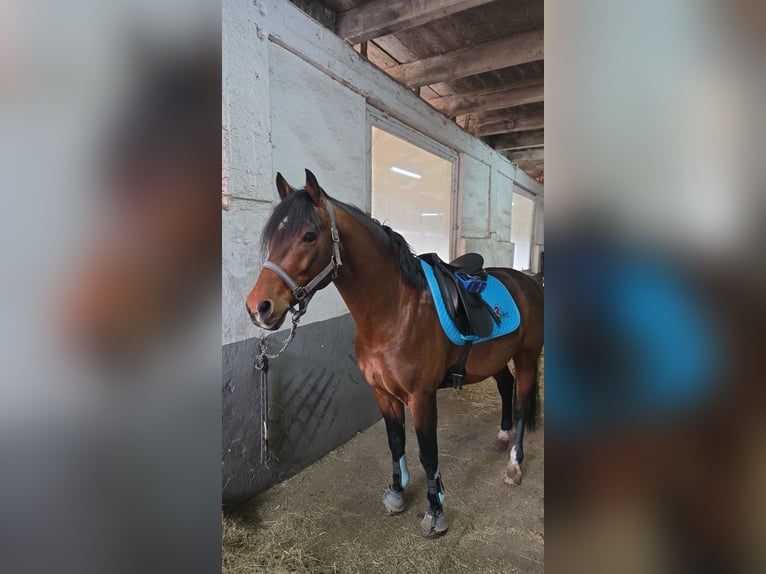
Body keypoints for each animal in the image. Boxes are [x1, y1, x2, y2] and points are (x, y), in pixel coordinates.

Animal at [246, 169, 544, 538]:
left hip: (528, 356)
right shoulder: (382, 392)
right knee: (505, 386)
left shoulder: (421, 397)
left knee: (521, 405)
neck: (395, 312)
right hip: (494, 358)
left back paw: (514, 466)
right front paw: (397, 493)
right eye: (273, 236)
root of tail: (528, 281)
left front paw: (435, 512)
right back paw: (501, 436)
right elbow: (396, 442)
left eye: (309, 235)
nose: (258, 308)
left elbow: (428, 453)